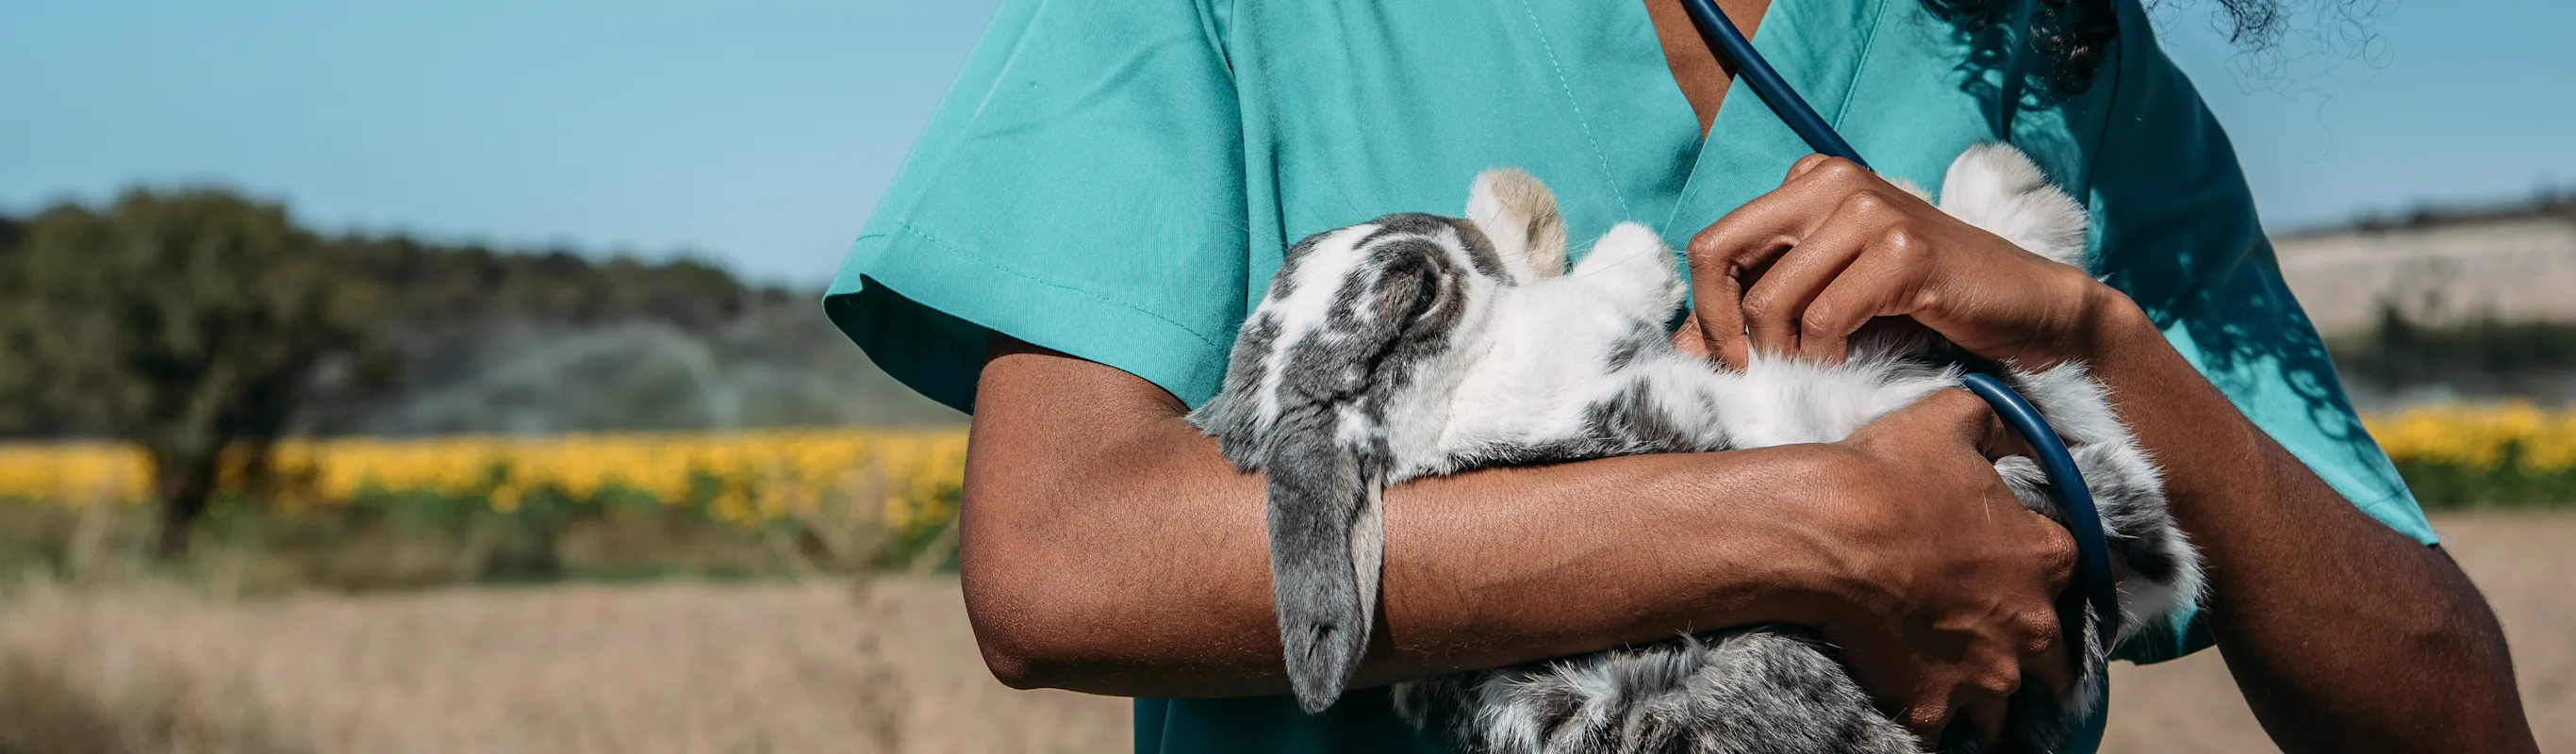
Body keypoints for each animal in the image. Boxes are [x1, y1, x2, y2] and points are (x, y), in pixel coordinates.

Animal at [1195, 141, 2204, 751]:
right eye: (1415, 296)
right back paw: (2012, 187)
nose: (1459, 232)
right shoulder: (1591, 350)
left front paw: (1515, 206)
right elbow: (1605, 284)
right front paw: (1564, 224)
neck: (1445, 415)